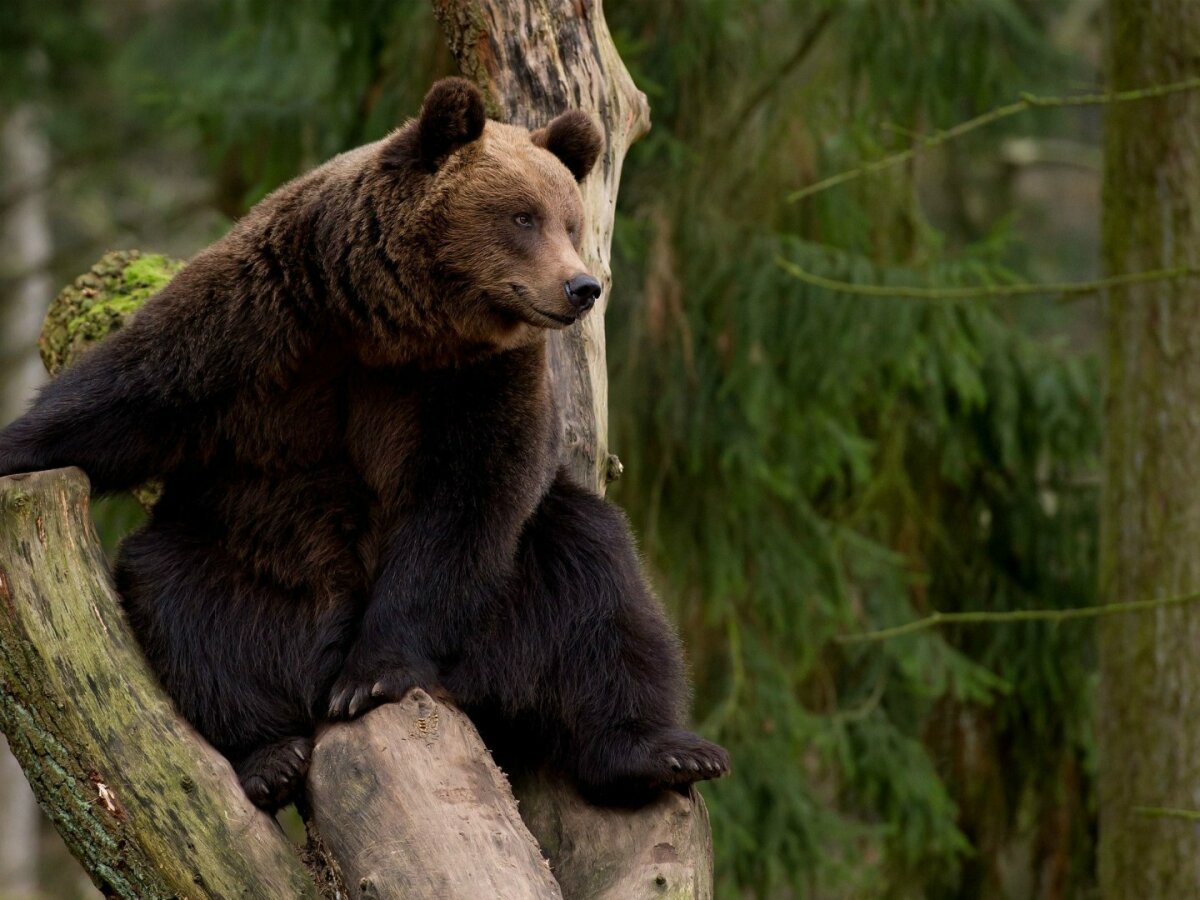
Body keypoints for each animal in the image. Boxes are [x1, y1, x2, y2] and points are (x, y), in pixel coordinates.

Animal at [0, 77, 729, 811]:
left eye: (571, 223)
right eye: (523, 217)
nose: (583, 287)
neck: (391, 325)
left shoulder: (480, 380)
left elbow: (466, 501)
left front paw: (372, 674)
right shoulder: (264, 314)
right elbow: (129, 397)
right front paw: (16, 447)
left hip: (510, 598)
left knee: (601, 592)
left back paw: (664, 751)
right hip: (250, 564)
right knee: (178, 602)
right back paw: (269, 754)